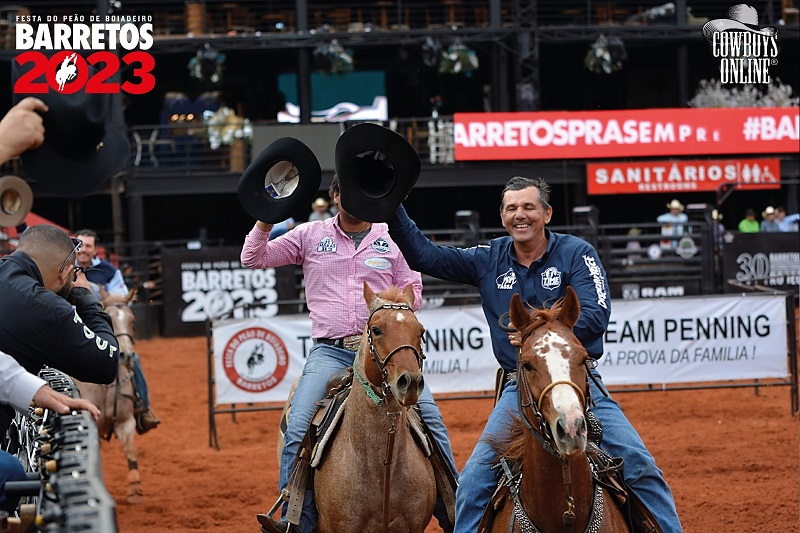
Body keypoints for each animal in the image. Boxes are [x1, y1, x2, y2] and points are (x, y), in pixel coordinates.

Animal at [75, 286, 144, 502]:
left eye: (132, 320)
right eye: (110, 319)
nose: (125, 355)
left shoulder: (126, 421)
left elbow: (130, 449)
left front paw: (135, 487)